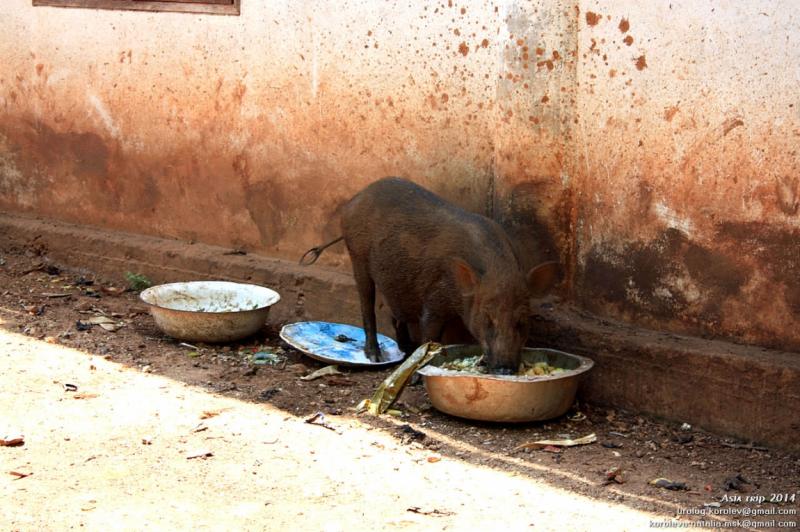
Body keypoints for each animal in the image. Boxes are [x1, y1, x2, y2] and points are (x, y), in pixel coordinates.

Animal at [302, 177, 564, 372]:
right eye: (487, 319)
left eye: (522, 321)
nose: (505, 369)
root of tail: (352, 202)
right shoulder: (434, 298)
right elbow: (430, 334)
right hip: (357, 255)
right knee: (367, 305)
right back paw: (376, 356)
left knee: (395, 315)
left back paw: (404, 348)